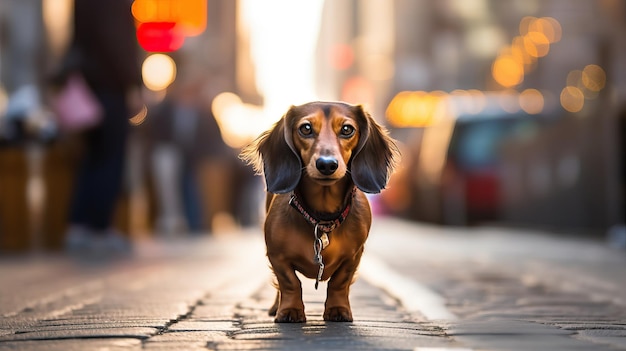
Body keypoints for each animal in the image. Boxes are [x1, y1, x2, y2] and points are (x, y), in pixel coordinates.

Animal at [239, 100, 394, 324]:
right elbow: (289, 282)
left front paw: (338, 310)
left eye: (347, 129)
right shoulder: (276, 256)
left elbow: (339, 282)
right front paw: (290, 311)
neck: (321, 217)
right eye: (306, 128)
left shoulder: (353, 256)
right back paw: (276, 306)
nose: (327, 164)